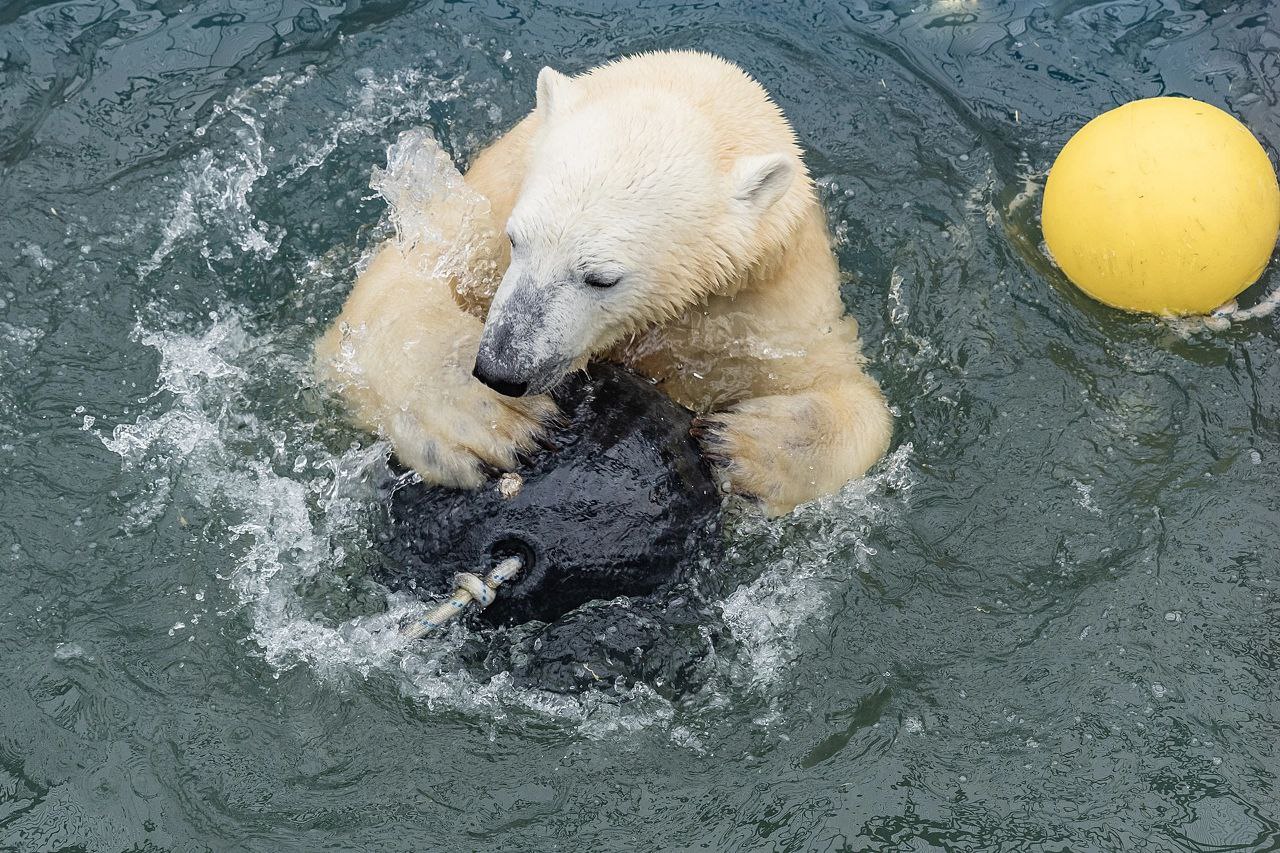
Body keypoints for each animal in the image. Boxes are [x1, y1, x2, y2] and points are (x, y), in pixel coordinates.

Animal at [314, 54, 890, 517]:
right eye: (517, 240)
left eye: (601, 277)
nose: (503, 370)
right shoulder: (487, 202)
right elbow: (398, 287)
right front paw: (499, 420)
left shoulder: (765, 300)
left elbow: (851, 396)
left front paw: (742, 446)